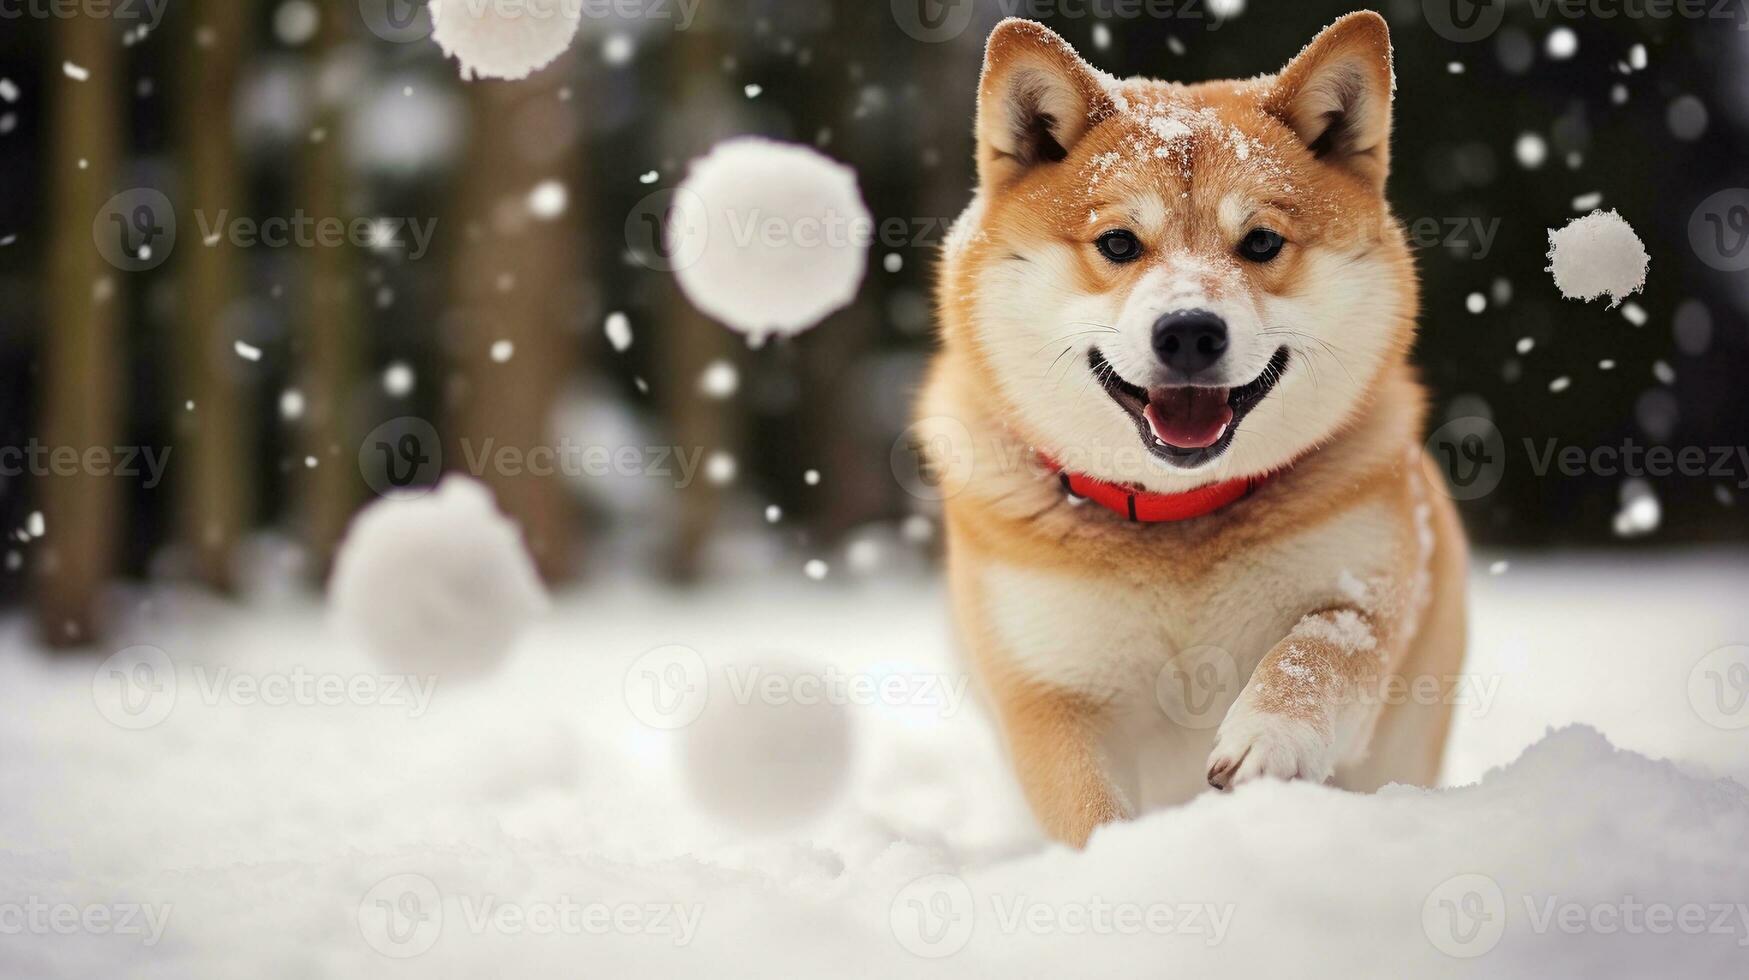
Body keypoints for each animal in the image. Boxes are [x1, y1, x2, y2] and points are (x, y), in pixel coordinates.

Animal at [923, 11, 1469, 847]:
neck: (1178, 513)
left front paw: (1269, 738)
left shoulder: (1368, 590)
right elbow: (1087, 808)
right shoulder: (1048, 691)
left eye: (1261, 242)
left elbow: (1321, 646)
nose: (1187, 331)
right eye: (1117, 243)